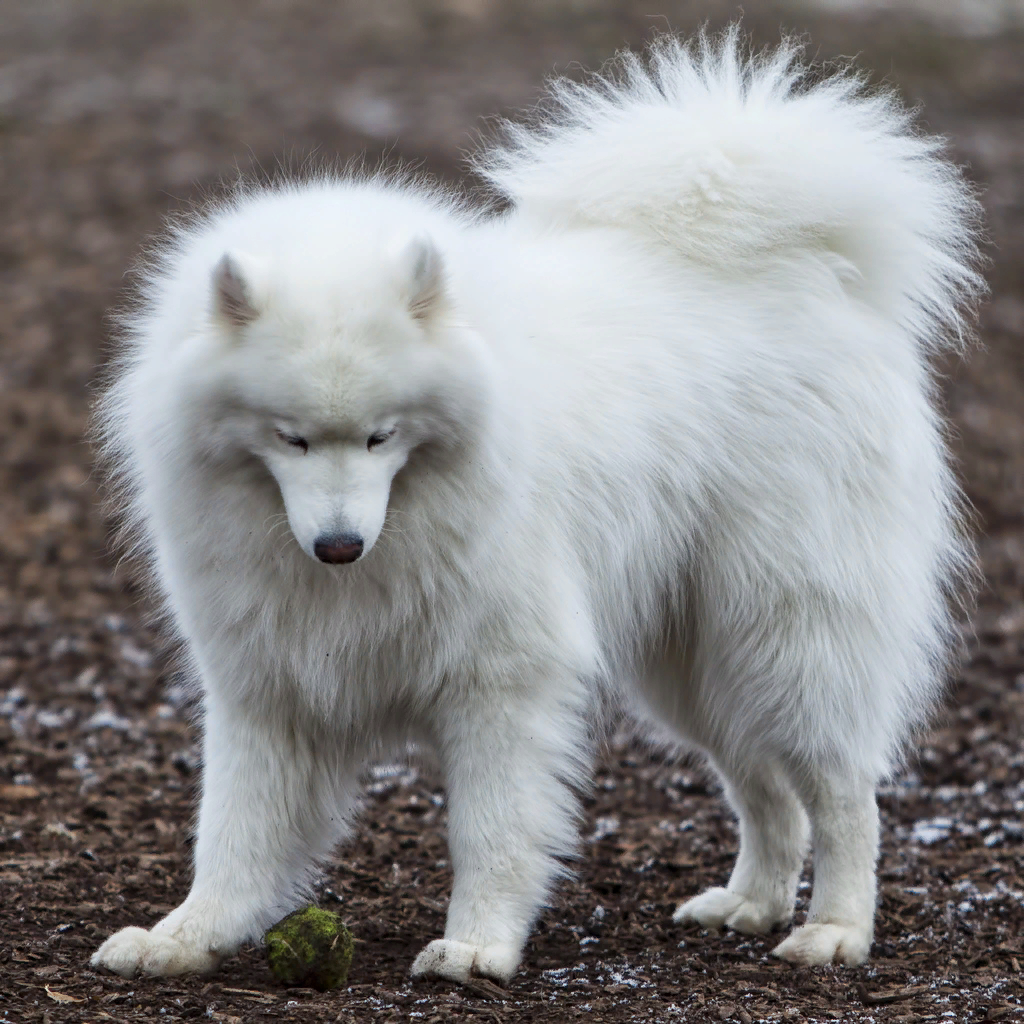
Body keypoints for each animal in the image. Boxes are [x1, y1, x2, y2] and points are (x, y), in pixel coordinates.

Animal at [92, 32, 978, 983]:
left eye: (380, 437)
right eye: (290, 439)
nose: (338, 547)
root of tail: (816, 270)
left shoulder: (502, 677)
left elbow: (491, 832)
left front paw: (477, 945)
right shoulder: (270, 686)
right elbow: (234, 834)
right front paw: (185, 935)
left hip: (786, 632)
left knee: (844, 790)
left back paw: (836, 930)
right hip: (696, 659)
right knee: (765, 786)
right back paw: (751, 902)